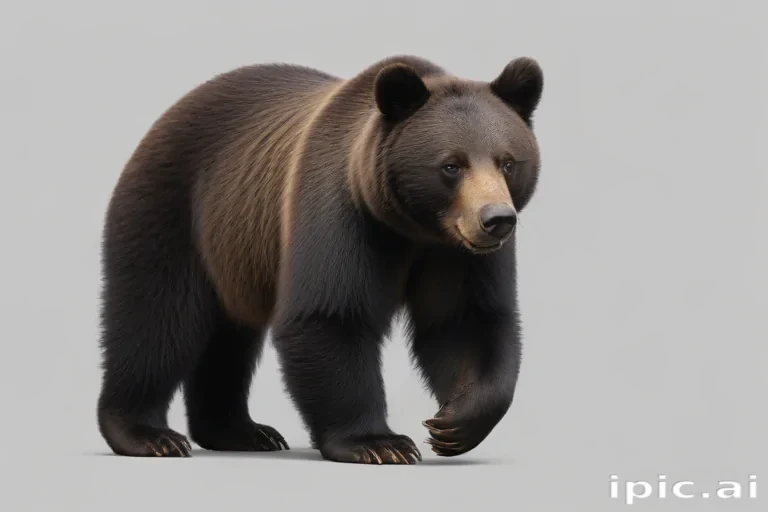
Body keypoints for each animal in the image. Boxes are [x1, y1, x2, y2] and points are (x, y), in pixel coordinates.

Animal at [97, 54, 544, 464]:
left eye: (507, 162)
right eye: (451, 165)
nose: (496, 220)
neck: (410, 227)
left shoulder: (456, 255)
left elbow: (466, 321)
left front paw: (453, 424)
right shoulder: (339, 211)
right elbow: (329, 315)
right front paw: (380, 443)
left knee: (228, 339)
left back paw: (241, 431)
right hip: (174, 210)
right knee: (156, 320)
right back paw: (148, 434)